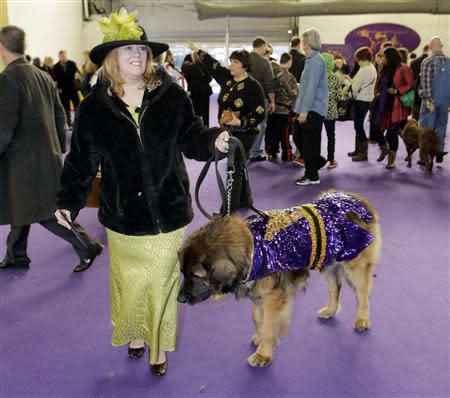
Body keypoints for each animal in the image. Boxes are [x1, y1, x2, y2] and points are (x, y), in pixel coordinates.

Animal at [178, 191, 382, 368]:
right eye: (182, 272)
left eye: (195, 275)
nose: (180, 299)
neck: (251, 249)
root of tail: (356, 198)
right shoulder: (259, 296)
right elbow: (257, 318)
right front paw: (260, 339)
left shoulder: (273, 298)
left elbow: (269, 326)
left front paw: (263, 354)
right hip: (329, 262)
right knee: (335, 288)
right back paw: (330, 310)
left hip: (355, 265)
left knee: (362, 294)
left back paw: (362, 319)